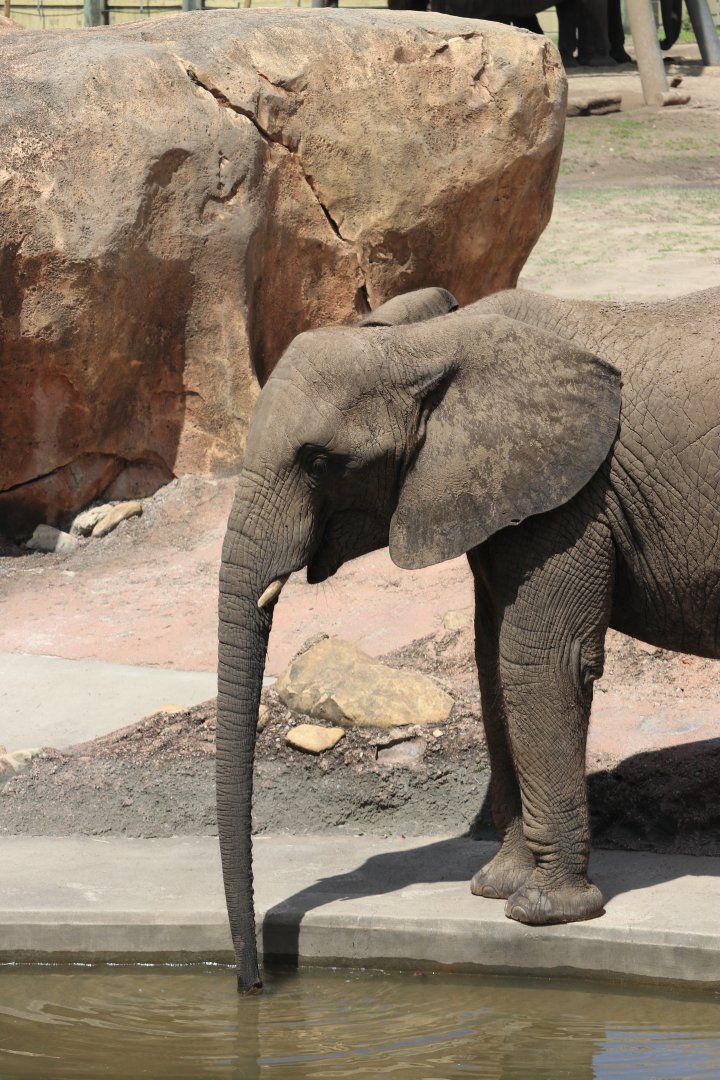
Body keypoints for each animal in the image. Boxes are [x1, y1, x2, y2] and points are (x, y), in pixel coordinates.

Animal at [218, 283, 720, 992]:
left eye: (319, 462)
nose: (253, 985)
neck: (429, 345)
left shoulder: (575, 497)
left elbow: (540, 662)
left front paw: (542, 912)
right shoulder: (499, 495)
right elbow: (491, 661)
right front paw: (495, 886)